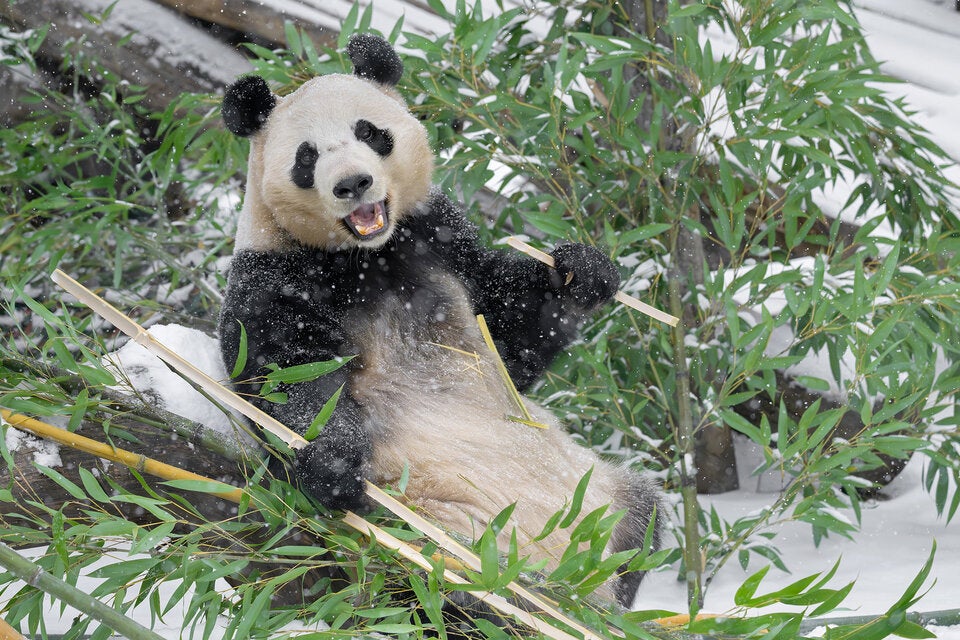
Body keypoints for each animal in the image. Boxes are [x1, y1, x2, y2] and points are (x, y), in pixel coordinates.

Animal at [218, 33, 662, 610]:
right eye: (306, 157)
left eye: (369, 132)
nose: (353, 183)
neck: (365, 256)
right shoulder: (274, 279)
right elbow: (289, 377)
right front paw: (332, 466)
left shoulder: (438, 237)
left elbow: (508, 337)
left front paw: (581, 273)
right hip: (440, 533)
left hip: (598, 490)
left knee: (643, 519)